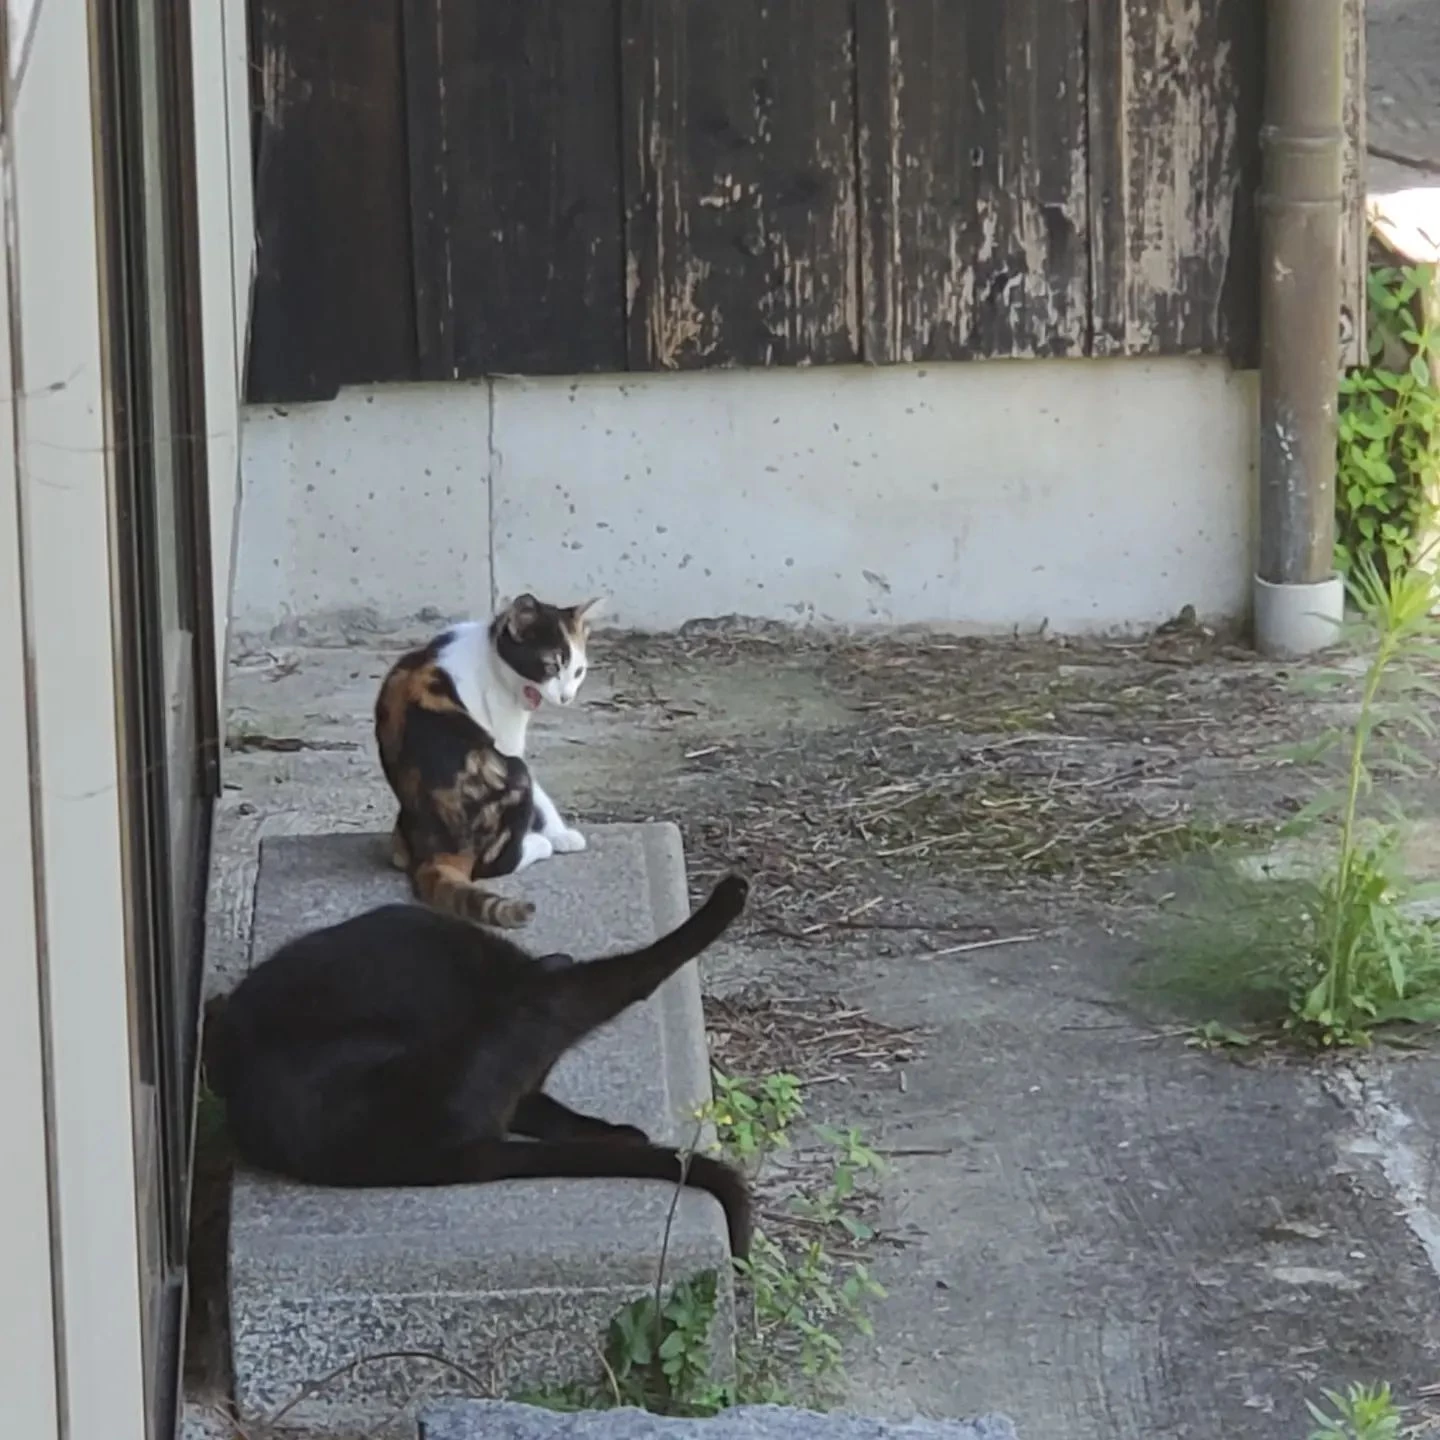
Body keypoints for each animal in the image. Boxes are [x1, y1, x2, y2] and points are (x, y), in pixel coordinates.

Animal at [374, 590, 599, 927]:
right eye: (550, 666)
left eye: (578, 672)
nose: (566, 697)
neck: (489, 654)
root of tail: (438, 850)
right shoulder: (506, 743)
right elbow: (540, 795)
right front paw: (559, 835)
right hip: (508, 773)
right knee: (492, 865)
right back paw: (537, 845)